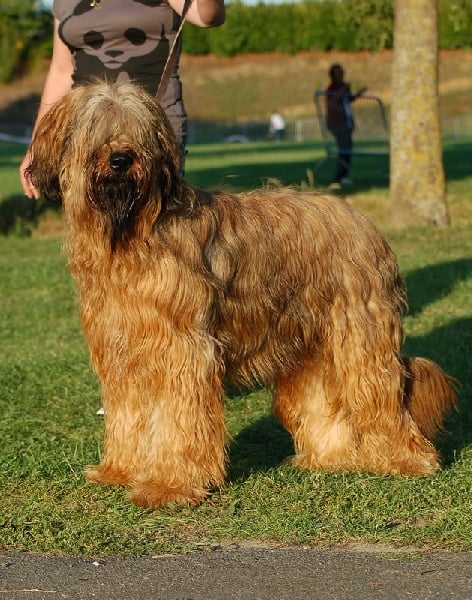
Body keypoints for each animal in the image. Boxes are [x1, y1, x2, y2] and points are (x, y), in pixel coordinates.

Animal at [27, 82, 456, 508]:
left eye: (139, 131)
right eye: (94, 128)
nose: (120, 159)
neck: (131, 234)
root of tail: (365, 222)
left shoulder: (181, 351)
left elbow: (177, 420)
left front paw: (168, 485)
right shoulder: (122, 350)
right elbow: (127, 414)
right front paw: (119, 471)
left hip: (359, 336)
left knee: (380, 394)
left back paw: (408, 460)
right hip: (310, 345)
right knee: (322, 399)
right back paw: (328, 459)